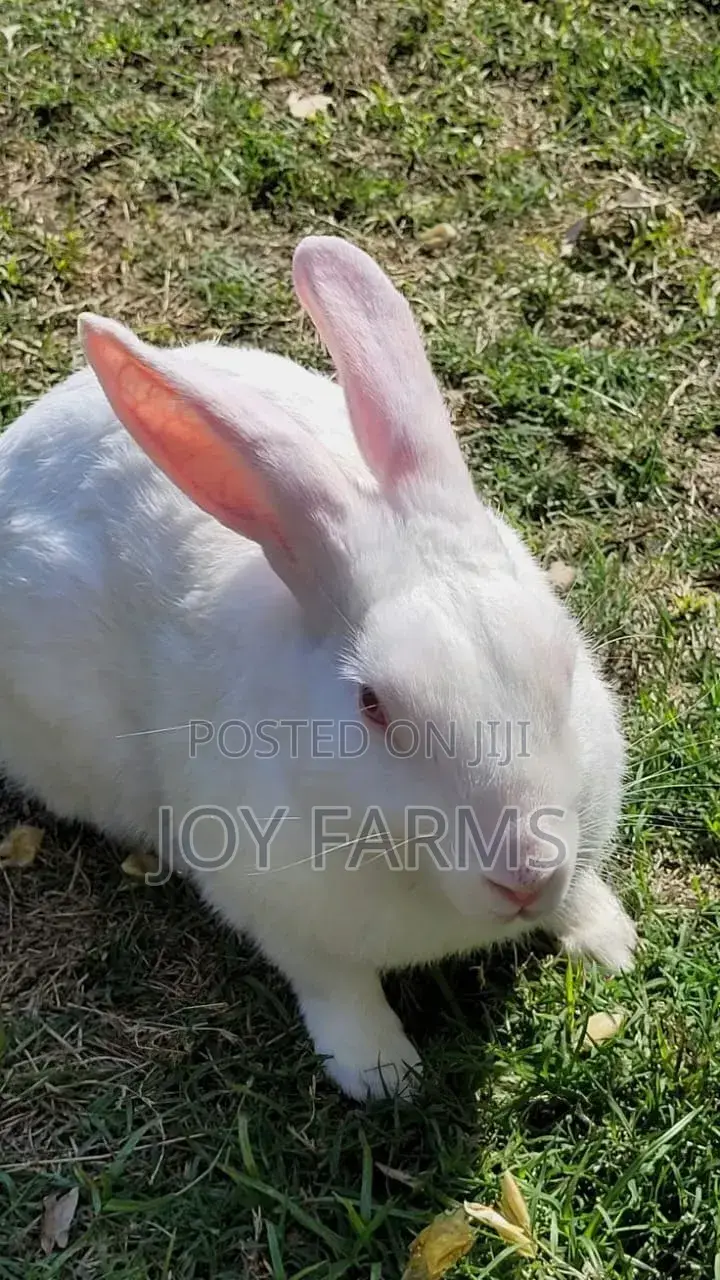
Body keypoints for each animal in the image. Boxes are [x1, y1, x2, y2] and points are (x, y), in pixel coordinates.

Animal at [0, 235, 637, 1099]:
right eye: (372, 706)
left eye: (564, 665)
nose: (527, 874)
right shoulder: (282, 913)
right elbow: (336, 987)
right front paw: (382, 1076)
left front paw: (609, 941)